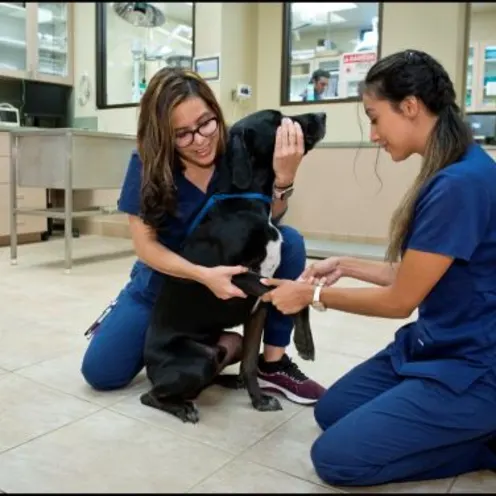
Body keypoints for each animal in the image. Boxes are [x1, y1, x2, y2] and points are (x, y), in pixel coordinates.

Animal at [140, 108, 326, 422]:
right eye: (276, 119)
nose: (323, 114)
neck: (244, 201)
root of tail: (149, 366)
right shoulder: (233, 275)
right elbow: (292, 295)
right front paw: (305, 343)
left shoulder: (258, 308)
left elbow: (250, 363)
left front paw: (259, 400)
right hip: (200, 359)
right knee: (150, 395)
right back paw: (181, 407)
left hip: (223, 347)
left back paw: (230, 381)